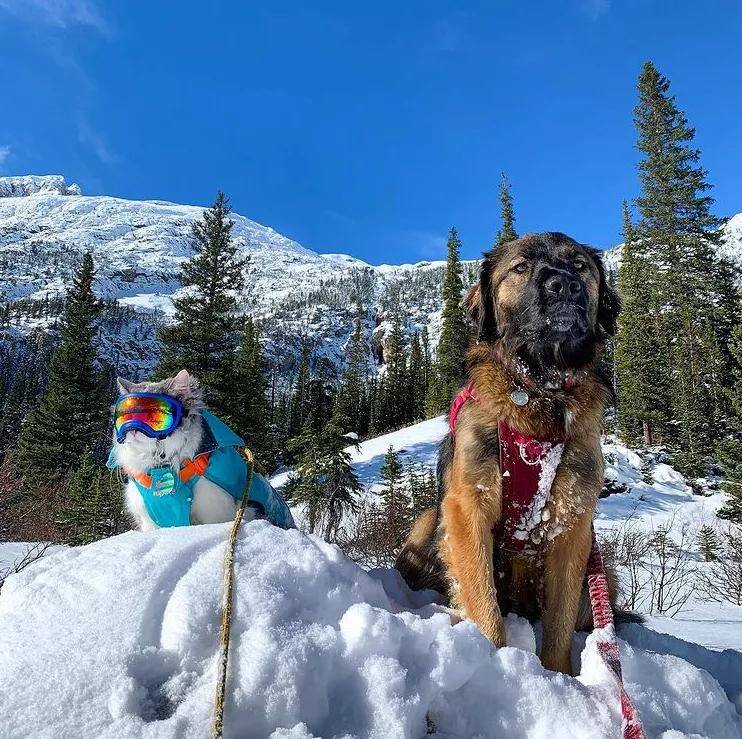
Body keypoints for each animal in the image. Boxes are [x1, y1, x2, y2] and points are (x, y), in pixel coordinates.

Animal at [402, 231, 620, 676]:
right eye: (521, 267)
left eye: (579, 266)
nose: (563, 285)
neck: (540, 392)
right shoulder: (467, 507)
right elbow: (483, 601)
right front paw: (494, 664)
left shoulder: (574, 525)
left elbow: (559, 622)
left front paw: (559, 677)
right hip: (430, 518)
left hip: (604, 572)